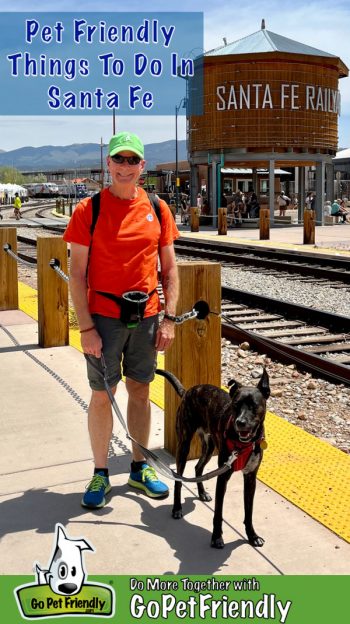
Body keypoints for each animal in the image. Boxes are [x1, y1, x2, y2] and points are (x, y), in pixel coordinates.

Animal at [157, 368, 270, 548]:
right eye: (235, 405)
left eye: (254, 406)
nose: (240, 422)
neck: (243, 444)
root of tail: (188, 391)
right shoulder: (222, 477)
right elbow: (218, 512)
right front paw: (217, 537)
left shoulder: (250, 478)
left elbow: (249, 512)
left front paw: (252, 536)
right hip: (184, 445)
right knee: (179, 479)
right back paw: (177, 508)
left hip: (209, 447)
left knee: (198, 468)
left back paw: (202, 493)